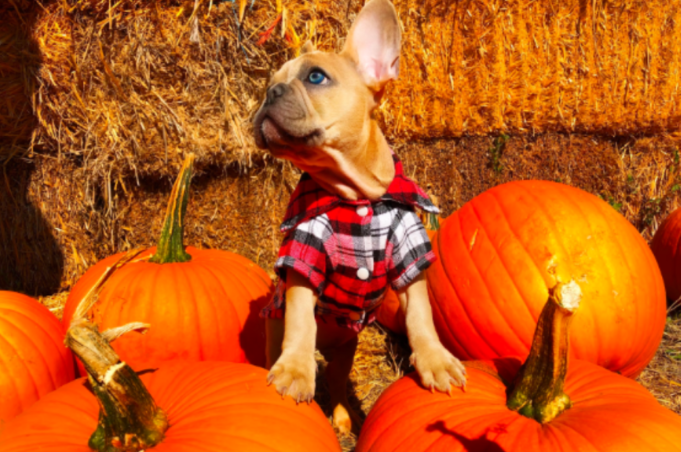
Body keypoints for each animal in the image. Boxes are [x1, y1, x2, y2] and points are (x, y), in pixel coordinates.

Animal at [252, 0, 464, 432]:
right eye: (270, 83)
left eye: (316, 77)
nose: (269, 93)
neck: (355, 194)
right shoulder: (304, 253)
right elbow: (301, 318)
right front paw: (295, 371)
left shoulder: (410, 253)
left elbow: (421, 316)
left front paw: (436, 361)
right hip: (273, 329)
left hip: (346, 351)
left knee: (335, 381)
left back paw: (342, 416)